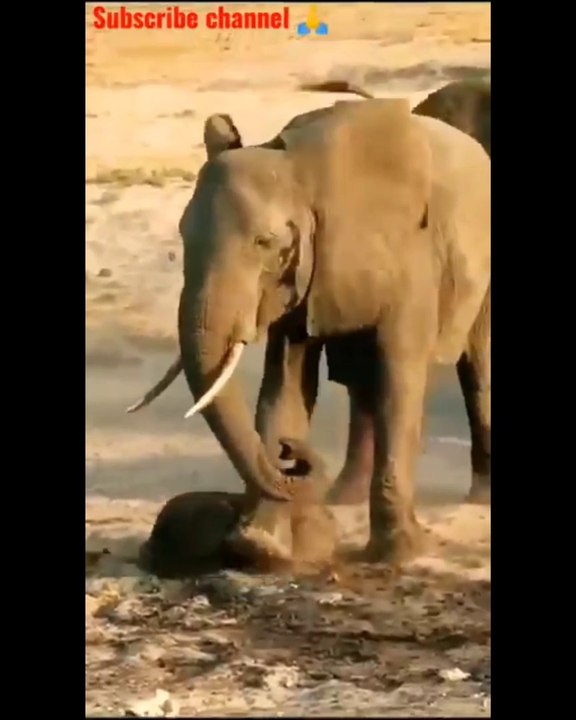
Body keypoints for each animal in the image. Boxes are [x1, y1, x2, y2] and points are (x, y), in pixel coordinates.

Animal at [128, 94, 490, 564]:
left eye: (265, 243)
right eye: (183, 236)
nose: (288, 454)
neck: (302, 169)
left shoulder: (410, 255)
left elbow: (400, 381)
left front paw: (399, 554)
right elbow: (283, 387)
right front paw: (264, 546)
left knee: (475, 369)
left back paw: (479, 500)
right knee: (359, 379)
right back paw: (343, 498)